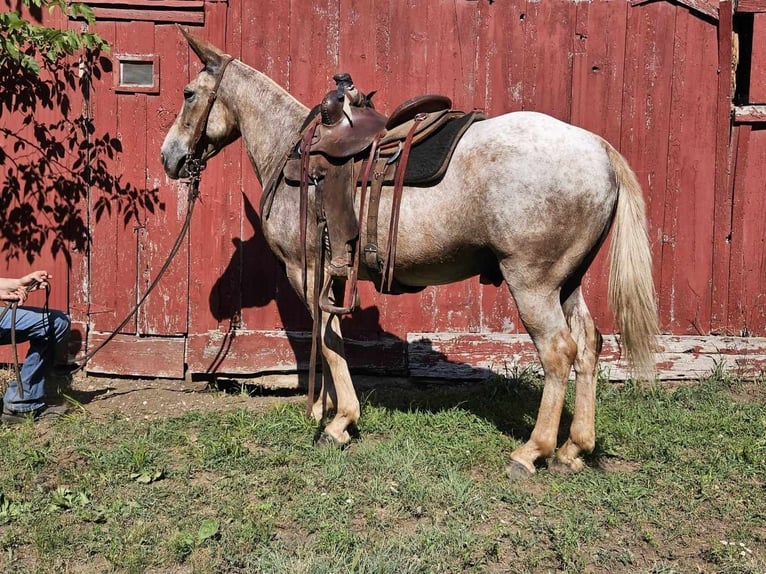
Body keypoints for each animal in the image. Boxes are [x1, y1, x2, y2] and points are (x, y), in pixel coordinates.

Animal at [160, 28, 660, 482]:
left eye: (188, 93)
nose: (169, 158)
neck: (294, 157)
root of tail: (599, 150)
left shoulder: (305, 270)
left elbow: (328, 339)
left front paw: (339, 423)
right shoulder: (331, 273)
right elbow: (330, 338)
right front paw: (326, 410)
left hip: (533, 284)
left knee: (558, 353)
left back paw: (531, 452)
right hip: (567, 282)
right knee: (589, 345)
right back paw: (573, 449)